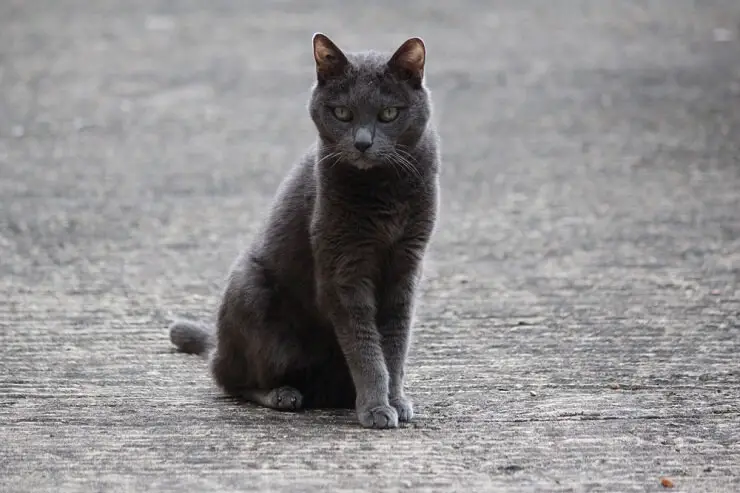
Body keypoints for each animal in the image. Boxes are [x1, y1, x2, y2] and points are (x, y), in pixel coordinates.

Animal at [169, 32, 440, 428]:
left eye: (389, 113)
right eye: (342, 113)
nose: (362, 143)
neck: (384, 191)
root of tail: (217, 344)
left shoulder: (406, 264)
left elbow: (394, 344)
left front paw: (395, 401)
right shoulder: (343, 271)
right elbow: (365, 347)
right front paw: (376, 408)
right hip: (251, 293)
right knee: (231, 379)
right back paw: (283, 394)